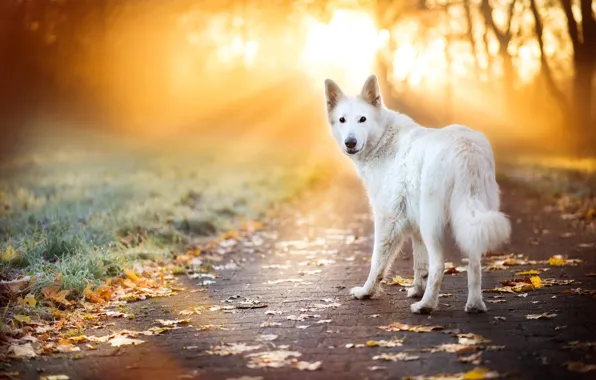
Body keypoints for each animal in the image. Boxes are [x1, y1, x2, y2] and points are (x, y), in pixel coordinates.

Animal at [324, 75, 510, 314]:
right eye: (342, 120)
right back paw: (474, 305)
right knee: (474, 265)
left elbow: (377, 262)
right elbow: (420, 265)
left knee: (439, 265)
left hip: (432, 223)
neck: (384, 139)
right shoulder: (414, 223)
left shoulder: (388, 219)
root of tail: (466, 149)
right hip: (469, 219)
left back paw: (426, 305)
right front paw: (416, 289)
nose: (350, 142)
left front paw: (367, 292)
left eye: (362, 119)